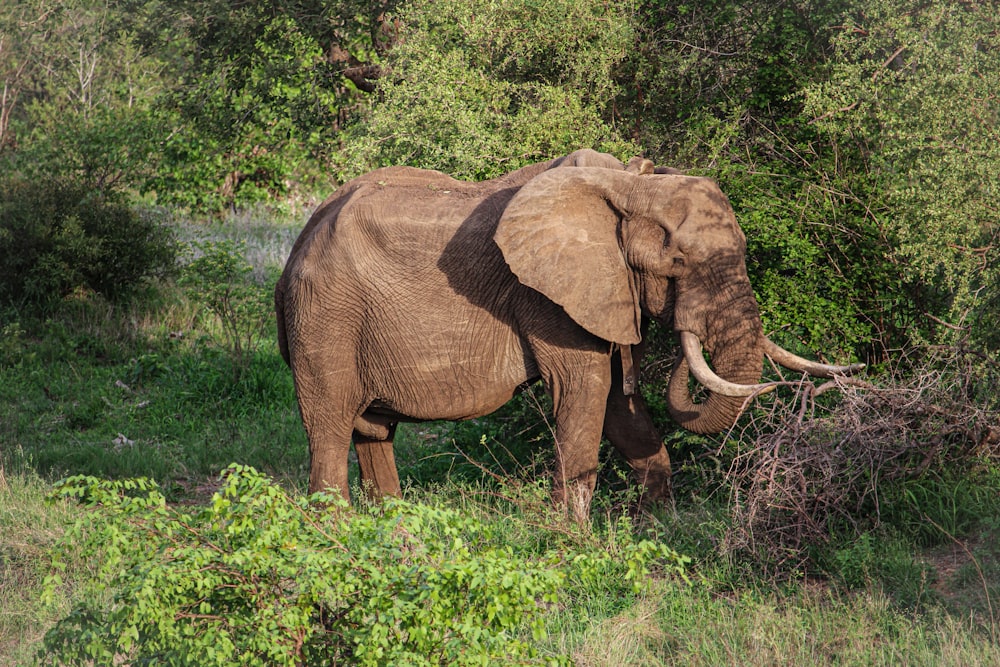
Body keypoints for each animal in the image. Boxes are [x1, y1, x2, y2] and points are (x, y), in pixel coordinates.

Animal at [274, 149, 860, 520]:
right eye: (677, 263)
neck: (630, 184)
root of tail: (296, 245)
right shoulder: (550, 300)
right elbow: (586, 392)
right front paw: (574, 545)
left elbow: (621, 407)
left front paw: (659, 529)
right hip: (324, 320)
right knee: (329, 431)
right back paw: (335, 540)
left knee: (373, 433)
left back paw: (390, 532)